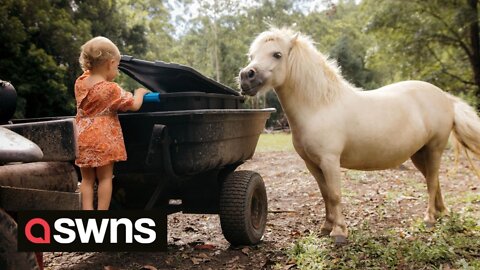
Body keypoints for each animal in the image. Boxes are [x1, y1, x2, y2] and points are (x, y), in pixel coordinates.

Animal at [240, 28, 480, 244]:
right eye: (251, 55)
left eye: (277, 54)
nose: (245, 77)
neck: (320, 106)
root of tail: (445, 97)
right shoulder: (313, 164)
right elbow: (325, 195)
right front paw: (326, 228)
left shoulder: (330, 161)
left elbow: (335, 194)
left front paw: (339, 233)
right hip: (419, 154)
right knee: (435, 180)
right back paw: (442, 213)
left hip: (434, 148)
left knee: (431, 182)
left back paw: (429, 218)